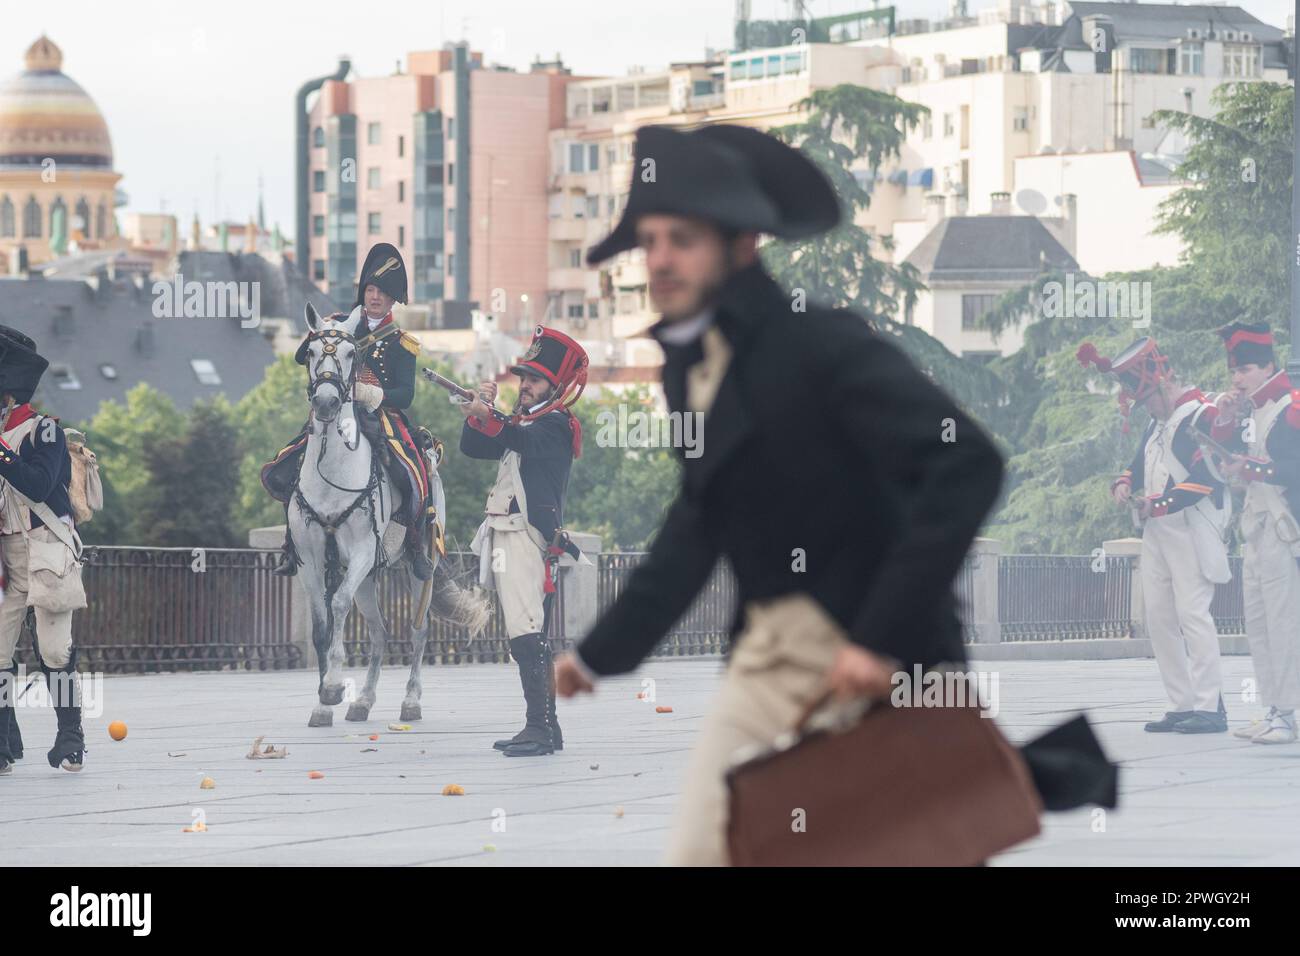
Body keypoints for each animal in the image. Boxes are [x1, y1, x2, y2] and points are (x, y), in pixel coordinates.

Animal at [292, 303, 488, 728]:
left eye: (351, 354)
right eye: (311, 353)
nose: (327, 404)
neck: (332, 471)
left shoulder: (362, 552)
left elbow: (338, 605)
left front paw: (333, 685)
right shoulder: (312, 559)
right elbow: (320, 624)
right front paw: (323, 702)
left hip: (417, 565)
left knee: (418, 630)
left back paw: (411, 701)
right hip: (369, 576)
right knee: (380, 632)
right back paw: (363, 701)